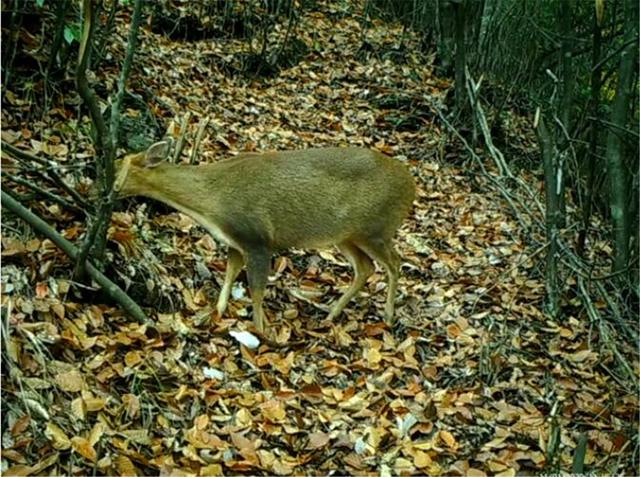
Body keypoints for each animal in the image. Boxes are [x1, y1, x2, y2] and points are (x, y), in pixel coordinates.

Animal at [114, 141, 416, 334]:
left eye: (118, 162)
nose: (108, 187)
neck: (213, 202)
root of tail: (412, 185)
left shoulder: (257, 238)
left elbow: (256, 289)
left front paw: (260, 332)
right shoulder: (235, 242)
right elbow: (230, 273)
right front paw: (215, 313)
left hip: (376, 228)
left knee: (394, 262)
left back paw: (388, 316)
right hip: (346, 235)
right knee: (366, 267)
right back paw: (331, 314)